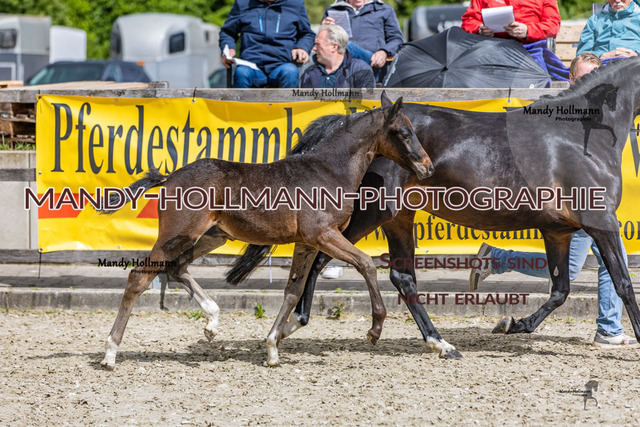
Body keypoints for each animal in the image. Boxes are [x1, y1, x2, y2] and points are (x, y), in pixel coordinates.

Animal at [98, 94, 434, 370]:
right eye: (404, 133)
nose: (428, 167)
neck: (329, 170)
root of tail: (170, 177)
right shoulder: (323, 235)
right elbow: (366, 264)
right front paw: (375, 329)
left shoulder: (307, 243)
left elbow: (293, 291)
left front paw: (272, 348)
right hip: (176, 236)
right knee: (139, 277)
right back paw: (110, 353)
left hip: (212, 235)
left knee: (177, 267)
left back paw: (212, 322)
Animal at [229, 57, 640, 359]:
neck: (580, 134)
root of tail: (349, 125)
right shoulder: (602, 222)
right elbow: (622, 283)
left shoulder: (558, 231)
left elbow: (561, 289)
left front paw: (511, 324)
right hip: (368, 214)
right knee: (324, 260)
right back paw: (297, 324)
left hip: (398, 218)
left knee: (400, 276)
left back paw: (437, 342)